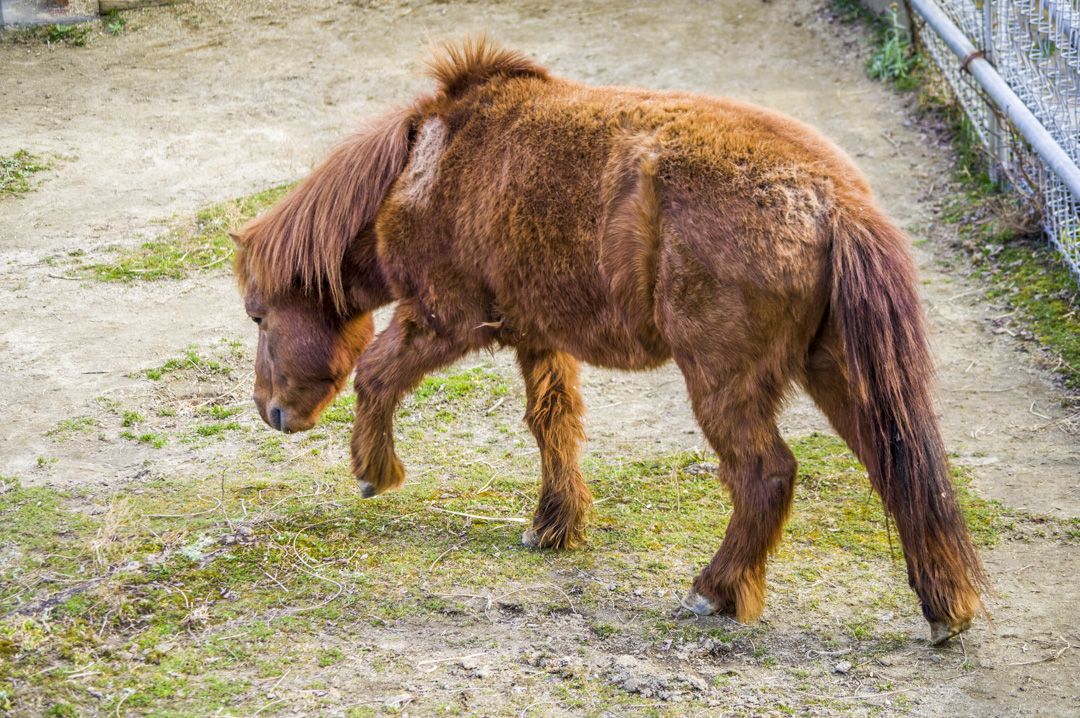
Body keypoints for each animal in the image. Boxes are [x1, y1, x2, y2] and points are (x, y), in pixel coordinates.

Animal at [231, 37, 987, 645]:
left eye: (259, 316)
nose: (272, 411)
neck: (426, 167)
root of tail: (835, 201)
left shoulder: (444, 320)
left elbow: (378, 374)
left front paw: (373, 471)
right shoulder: (537, 336)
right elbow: (552, 425)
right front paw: (555, 526)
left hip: (725, 381)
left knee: (765, 474)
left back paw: (715, 591)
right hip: (834, 369)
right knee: (897, 464)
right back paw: (945, 607)